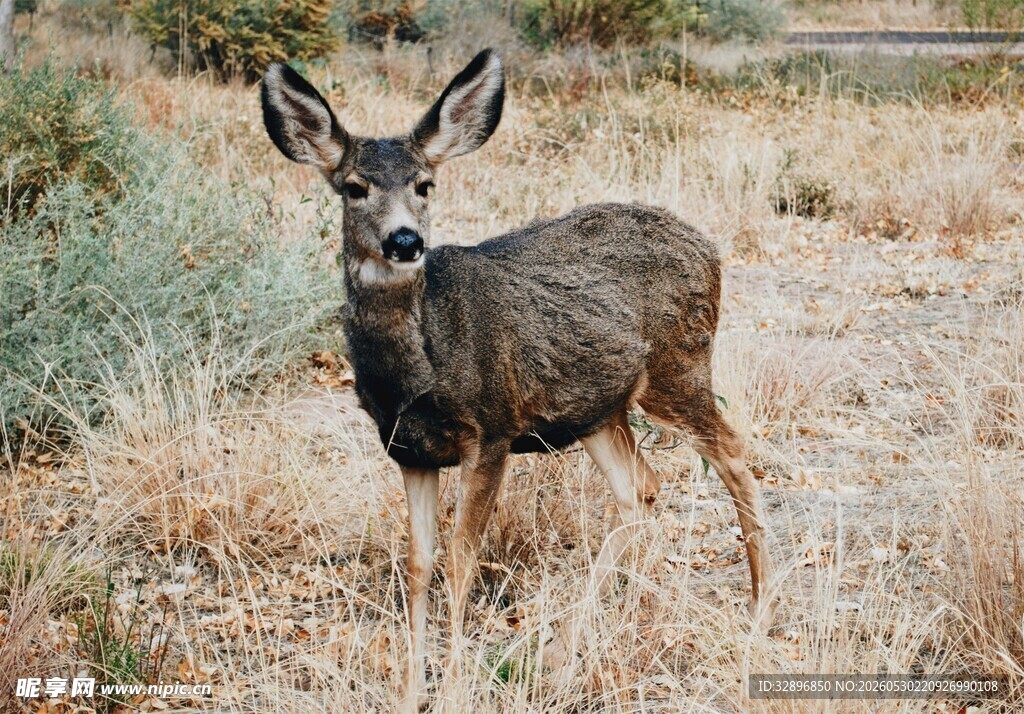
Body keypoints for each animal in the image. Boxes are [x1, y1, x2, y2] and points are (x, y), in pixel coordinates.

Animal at [261, 49, 773, 710]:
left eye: (425, 184)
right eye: (354, 187)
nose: (406, 240)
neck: (417, 369)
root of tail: (710, 248)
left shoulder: (492, 428)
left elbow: (462, 558)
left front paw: (453, 689)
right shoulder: (409, 450)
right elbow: (419, 564)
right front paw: (409, 691)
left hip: (677, 367)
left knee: (732, 451)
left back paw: (760, 610)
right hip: (596, 408)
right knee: (640, 488)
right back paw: (563, 652)